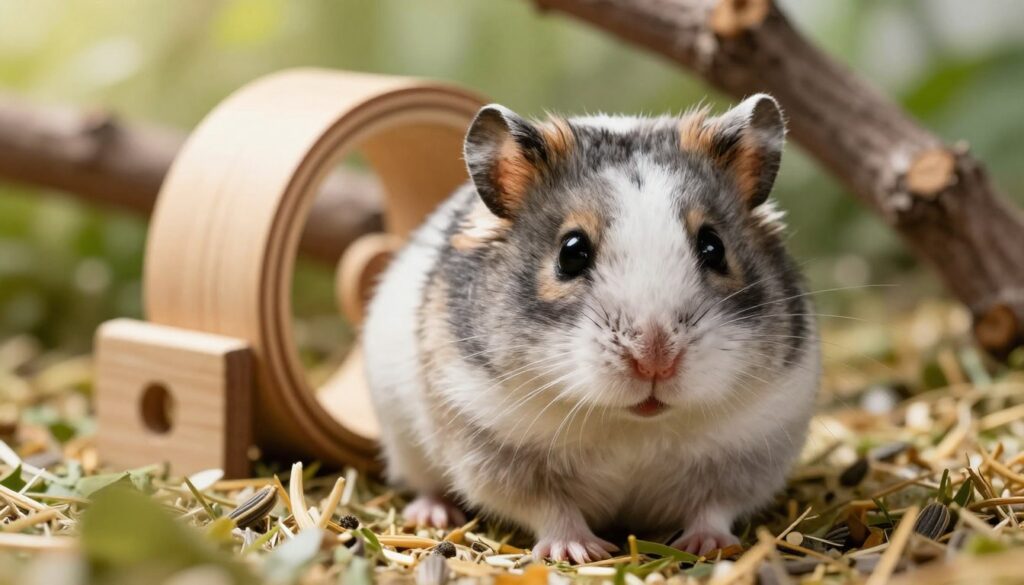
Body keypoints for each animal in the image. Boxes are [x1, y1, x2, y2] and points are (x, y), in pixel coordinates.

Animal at [362, 94, 819, 563]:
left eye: (714, 247)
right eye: (571, 252)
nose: (655, 360)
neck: (632, 425)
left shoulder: (752, 447)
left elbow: (714, 507)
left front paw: (708, 546)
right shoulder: (493, 445)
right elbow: (550, 508)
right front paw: (580, 552)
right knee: (426, 484)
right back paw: (432, 514)